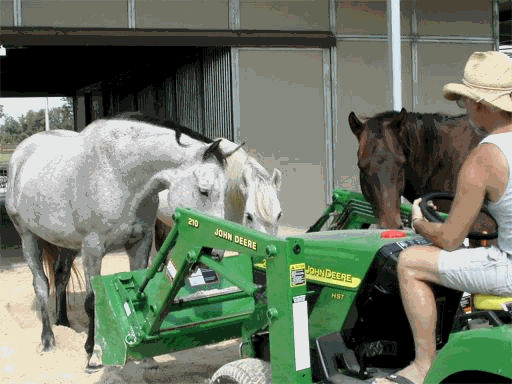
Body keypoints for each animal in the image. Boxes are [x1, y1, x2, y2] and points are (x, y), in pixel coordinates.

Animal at [5, 121, 242, 370]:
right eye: (204, 190)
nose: (215, 252)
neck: (117, 175)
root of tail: (20, 153)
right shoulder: (92, 249)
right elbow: (92, 301)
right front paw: (93, 354)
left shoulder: (140, 244)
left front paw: (147, 358)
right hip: (28, 237)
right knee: (41, 284)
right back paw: (48, 339)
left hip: (67, 243)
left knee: (61, 276)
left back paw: (63, 323)